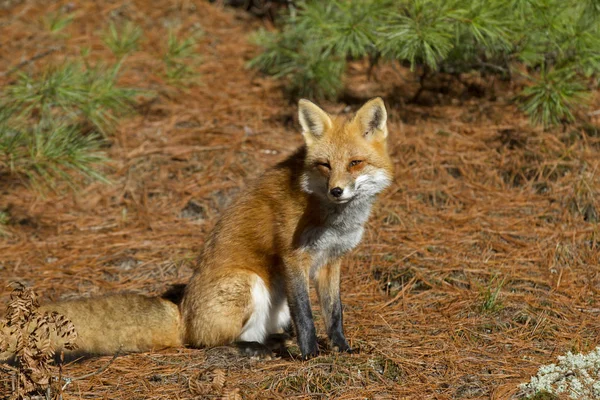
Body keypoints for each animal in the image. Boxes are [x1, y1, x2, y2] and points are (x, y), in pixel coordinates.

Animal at [2, 98, 394, 360]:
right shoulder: (293, 258)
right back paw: (255, 349)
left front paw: (342, 348)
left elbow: (334, 313)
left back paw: (271, 343)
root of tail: (181, 315)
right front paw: (311, 354)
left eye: (355, 163)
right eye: (324, 165)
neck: (331, 216)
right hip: (247, 282)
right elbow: (307, 316)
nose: (337, 191)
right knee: (208, 341)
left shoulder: (331, 261)